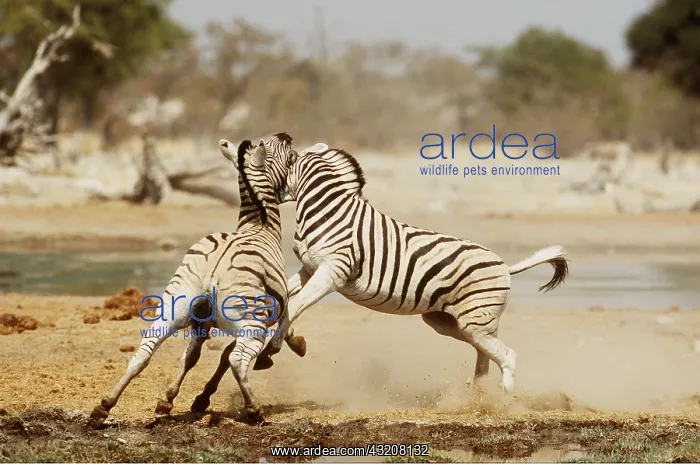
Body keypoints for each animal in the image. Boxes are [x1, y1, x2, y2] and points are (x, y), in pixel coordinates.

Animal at [88, 137, 305, 427]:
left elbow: (192, 357)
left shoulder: (202, 322)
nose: (286, 136)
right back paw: (254, 410)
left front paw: (168, 401)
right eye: (283, 154)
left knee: (143, 353)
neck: (259, 225)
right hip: (250, 323)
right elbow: (226, 356)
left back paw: (104, 407)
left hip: (173, 305)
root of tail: (215, 266)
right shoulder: (265, 315)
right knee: (238, 359)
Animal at [258, 143, 569, 393]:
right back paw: (477, 397)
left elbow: (295, 304)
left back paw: (502, 402)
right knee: (486, 354)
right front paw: (282, 342)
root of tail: (505, 266)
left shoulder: (331, 272)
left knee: (507, 355)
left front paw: (272, 348)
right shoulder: (309, 269)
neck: (326, 212)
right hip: (452, 321)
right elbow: (283, 298)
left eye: (278, 160)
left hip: (473, 321)